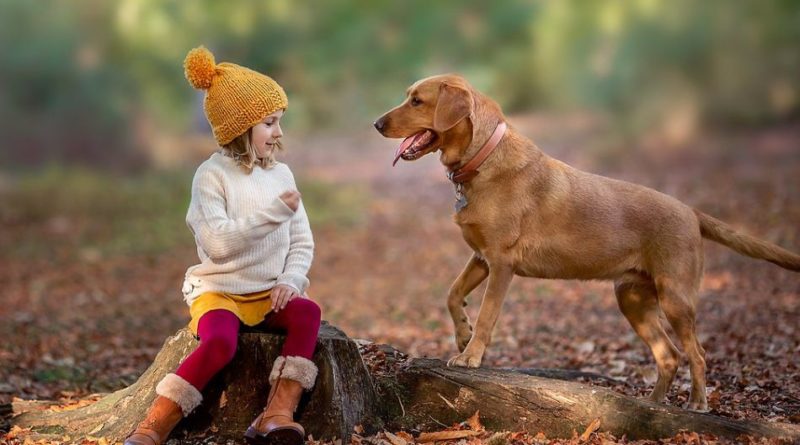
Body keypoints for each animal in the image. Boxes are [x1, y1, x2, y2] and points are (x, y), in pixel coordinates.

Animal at [376, 73, 800, 410]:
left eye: (417, 101)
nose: (376, 123)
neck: (483, 159)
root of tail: (692, 212)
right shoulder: (481, 257)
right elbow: (451, 294)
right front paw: (461, 334)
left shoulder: (501, 263)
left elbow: (486, 316)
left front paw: (471, 354)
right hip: (632, 299)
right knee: (668, 356)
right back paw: (653, 405)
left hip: (675, 298)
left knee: (697, 353)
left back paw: (697, 403)